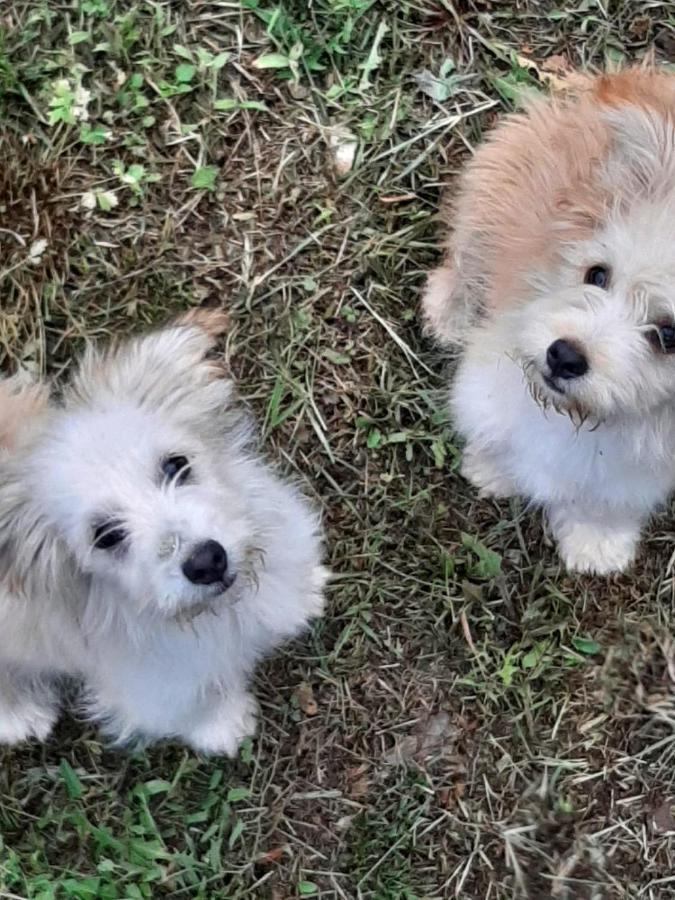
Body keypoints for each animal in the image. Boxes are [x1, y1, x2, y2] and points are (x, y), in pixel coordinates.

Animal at [0, 312, 328, 752]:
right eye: (106, 535)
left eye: (176, 465)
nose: (207, 562)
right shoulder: (162, 684)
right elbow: (195, 703)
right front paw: (223, 726)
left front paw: (306, 590)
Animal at [422, 72, 675, 576]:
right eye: (597, 274)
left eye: (670, 335)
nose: (564, 355)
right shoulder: (492, 374)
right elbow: (498, 423)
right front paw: (494, 467)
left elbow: (611, 498)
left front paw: (597, 540)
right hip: (493, 190)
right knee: (464, 256)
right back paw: (448, 311)